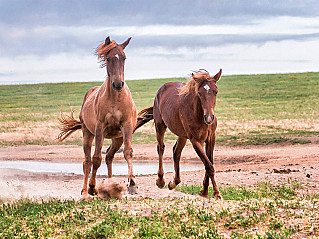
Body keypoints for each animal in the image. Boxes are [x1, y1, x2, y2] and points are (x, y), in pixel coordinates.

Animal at [58, 36, 138, 200]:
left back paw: (111, 185)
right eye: (108, 58)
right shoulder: (100, 128)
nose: (118, 84)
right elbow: (96, 159)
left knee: (109, 156)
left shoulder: (126, 127)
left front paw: (132, 182)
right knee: (87, 162)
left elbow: (128, 152)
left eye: (124, 58)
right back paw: (85, 192)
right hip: (87, 133)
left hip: (117, 138)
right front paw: (92, 187)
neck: (115, 98)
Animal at [137, 68, 222, 198]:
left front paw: (204, 190)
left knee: (176, 152)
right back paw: (160, 180)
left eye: (215, 92)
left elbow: (209, 161)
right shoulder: (195, 140)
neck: (198, 114)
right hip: (160, 126)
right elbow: (209, 165)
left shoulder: (211, 138)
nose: (209, 118)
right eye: (200, 93)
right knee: (161, 148)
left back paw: (174, 183)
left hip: (182, 135)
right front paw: (216, 193)